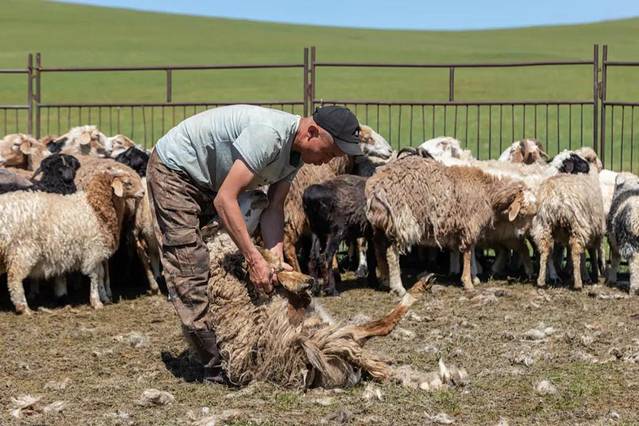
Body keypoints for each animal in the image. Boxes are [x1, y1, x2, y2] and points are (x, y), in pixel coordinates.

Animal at [0, 168, 145, 314]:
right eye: (128, 183)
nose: (143, 192)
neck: (96, 207)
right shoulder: (93, 249)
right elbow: (95, 276)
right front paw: (96, 302)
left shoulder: (98, 252)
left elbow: (101, 274)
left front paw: (104, 297)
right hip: (22, 251)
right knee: (14, 278)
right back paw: (24, 308)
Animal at [204, 190, 431, 388]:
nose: (260, 193)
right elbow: (266, 261)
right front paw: (300, 279)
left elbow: (268, 257)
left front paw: (299, 278)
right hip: (324, 337)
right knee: (376, 345)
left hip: (336, 331)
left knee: (380, 327)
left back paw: (420, 287)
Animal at [366, 149, 537, 295]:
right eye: (523, 212)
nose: (523, 235)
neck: (487, 192)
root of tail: (376, 188)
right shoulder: (470, 224)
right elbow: (467, 253)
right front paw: (468, 282)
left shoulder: (466, 226)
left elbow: (470, 251)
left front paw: (474, 277)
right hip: (403, 221)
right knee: (391, 253)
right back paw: (398, 287)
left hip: (380, 224)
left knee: (378, 247)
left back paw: (385, 281)